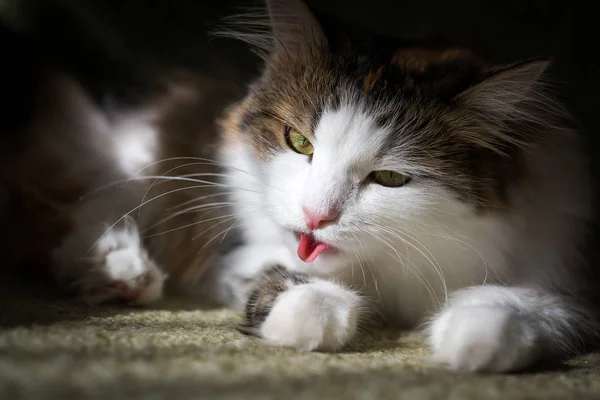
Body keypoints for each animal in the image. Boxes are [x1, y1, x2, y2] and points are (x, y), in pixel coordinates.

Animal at [2, 0, 596, 374]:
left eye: (390, 178)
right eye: (299, 142)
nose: (315, 216)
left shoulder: (562, 267)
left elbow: (521, 305)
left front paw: (475, 339)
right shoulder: (239, 254)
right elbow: (287, 279)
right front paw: (311, 313)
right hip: (136, 169)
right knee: (86, 216)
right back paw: (122, 274)